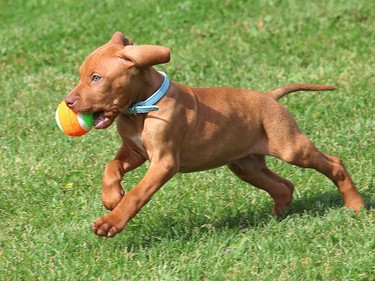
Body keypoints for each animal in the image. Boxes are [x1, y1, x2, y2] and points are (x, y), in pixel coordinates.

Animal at [66, 31, 366, 235]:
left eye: (96, 78)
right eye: (81, 76)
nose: (68, 102)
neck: (139, 109)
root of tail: (270, 97)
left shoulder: (164, 162)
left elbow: (138, 194)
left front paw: (111, 222)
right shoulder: (135, 151)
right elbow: (111, 167)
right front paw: (111, 197)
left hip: (291, 147)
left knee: (335, 164)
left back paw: (356, 206)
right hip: (245, 165)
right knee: (284, 186)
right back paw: (278, 216)